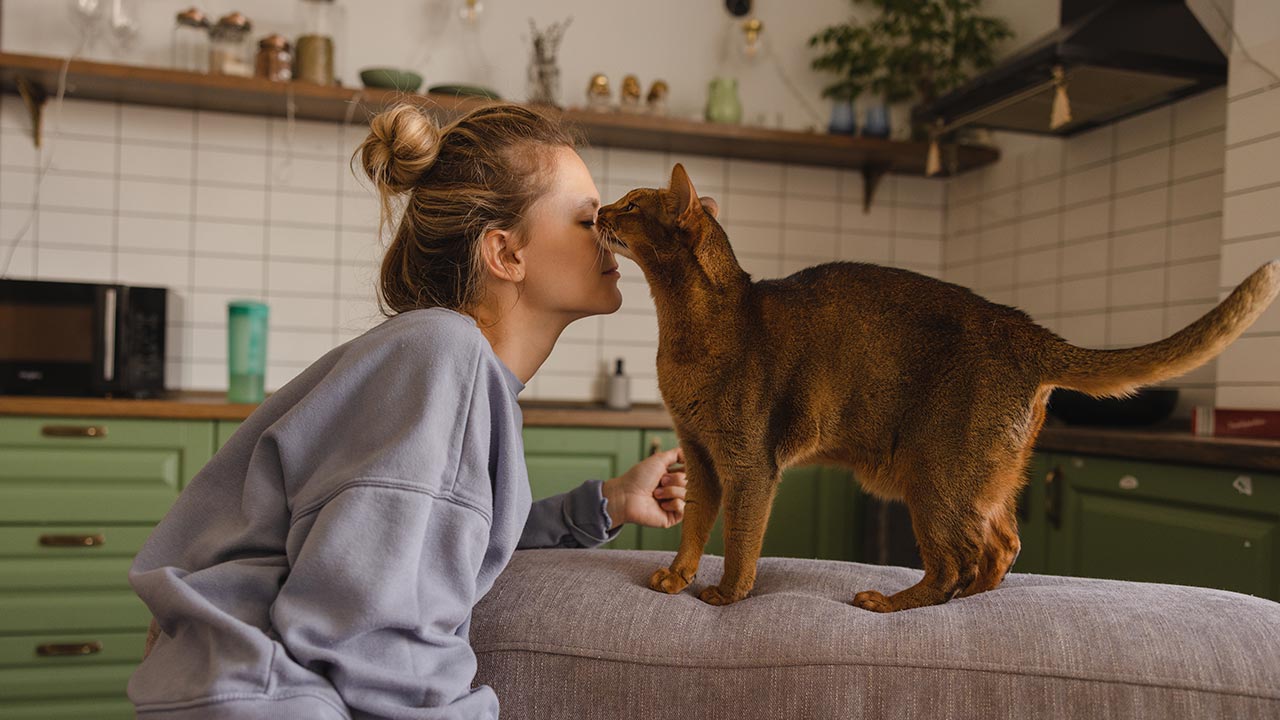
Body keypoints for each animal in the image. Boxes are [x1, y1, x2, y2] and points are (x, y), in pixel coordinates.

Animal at [593, 162, 1280, 609]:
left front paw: (727, 596)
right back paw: (971, 599)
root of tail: (1028, 331)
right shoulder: (701, 457)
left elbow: (740, 539)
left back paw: (894, 602)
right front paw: (677, 577)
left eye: (629, 206)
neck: (691, 323)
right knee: (1001, 546)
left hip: (933, 474)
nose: (597, 209)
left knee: (955, 560)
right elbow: (693, 526)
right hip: (977, 477)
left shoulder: (748, 464)